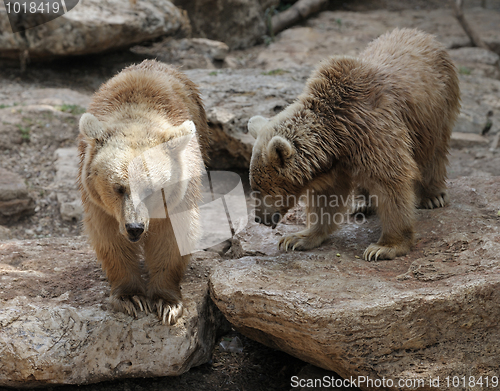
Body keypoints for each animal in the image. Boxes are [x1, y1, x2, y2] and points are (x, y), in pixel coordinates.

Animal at [77, 60, 209, 324]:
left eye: (151, 188)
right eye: (119, 187)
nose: (135, 228)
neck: (138, 114)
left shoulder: (180, 192)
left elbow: (172, 238)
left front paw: (166, 302)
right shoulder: (100, 204)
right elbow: (110, 239)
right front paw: (131, 297)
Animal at [250, 29, 460, 262]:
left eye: (259, 187)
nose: (259, 218)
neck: (338, 135)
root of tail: (422, 34)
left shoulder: (373, 131)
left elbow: (391, 181)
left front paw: (383, 247)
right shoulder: (335, 160)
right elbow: (326, 197)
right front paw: (297, 238)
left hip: (435, 108)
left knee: (434, 150)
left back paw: (433, 196)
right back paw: (361, 202)